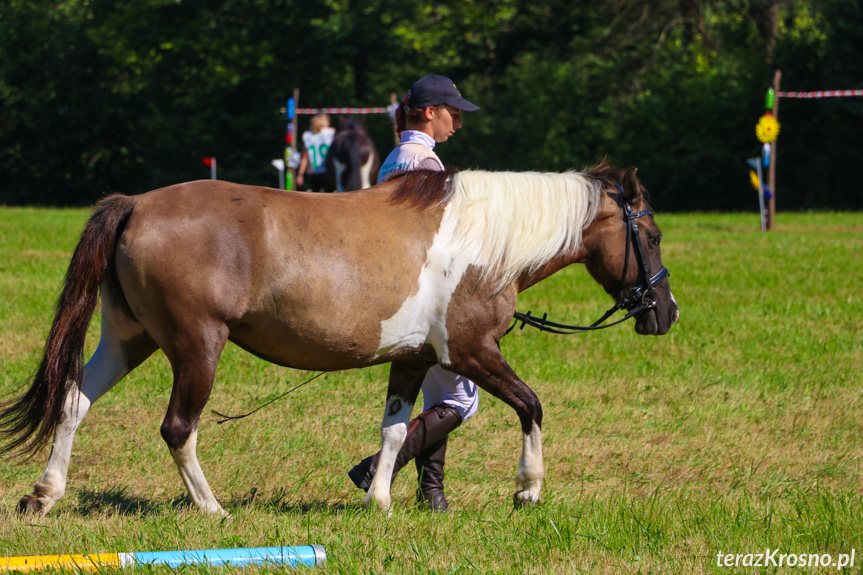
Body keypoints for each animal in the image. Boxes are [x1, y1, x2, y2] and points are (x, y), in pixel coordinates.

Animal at [1, 163, 680, 516]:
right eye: (652, 235)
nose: (665, 313)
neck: (483, 238)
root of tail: (136, 204)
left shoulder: (413, 358)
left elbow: (397, 429)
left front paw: (379, 500)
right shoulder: (472, 353)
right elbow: (532, 406)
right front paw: (529, 488)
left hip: (128, 339)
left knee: (73, 403)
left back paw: (44, 495)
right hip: (197, 348)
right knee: (177, 429)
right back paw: (212, 508)